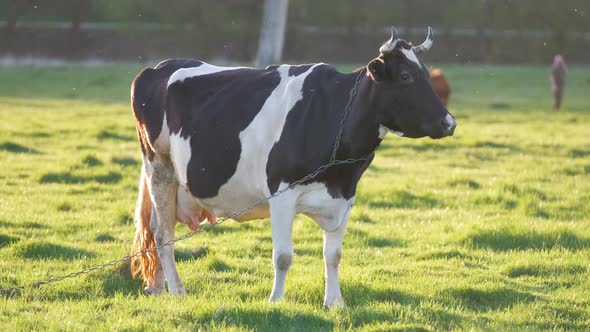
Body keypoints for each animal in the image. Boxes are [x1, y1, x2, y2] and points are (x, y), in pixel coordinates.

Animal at [131, 27, 458, 308]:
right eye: (405, 76)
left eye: (426, 74)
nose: (449, 122)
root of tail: (158, 67)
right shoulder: (281, 195)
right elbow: (283, 256)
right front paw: (276, 300)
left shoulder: (345, 197)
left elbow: (334, 255)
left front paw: (335, 303)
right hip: (159, 166)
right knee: (163, 234)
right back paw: (177, 290)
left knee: (157, 228)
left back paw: (157, 288)